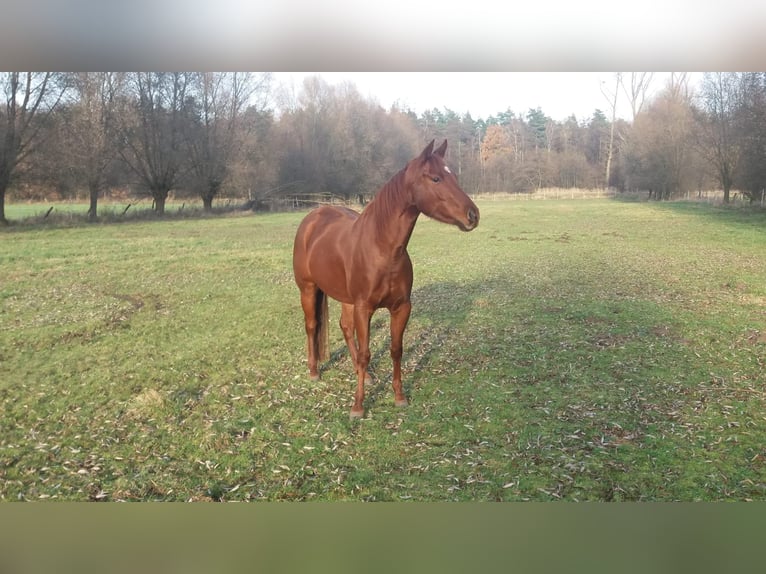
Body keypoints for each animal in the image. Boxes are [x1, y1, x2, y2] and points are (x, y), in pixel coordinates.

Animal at [292, 139, 480, 418]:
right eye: (435, 178)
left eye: (454, 176)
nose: (473, 215)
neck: (382, 249)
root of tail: (312, 218)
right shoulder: (364, 308)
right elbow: (366, 353)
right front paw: (358, 406)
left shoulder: (401, 307)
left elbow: (396, 350)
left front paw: (399, 396)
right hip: (308, 289)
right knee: (312, 326)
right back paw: (315, 372)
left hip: (346, 298)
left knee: (345, 328)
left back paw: (366, 376)